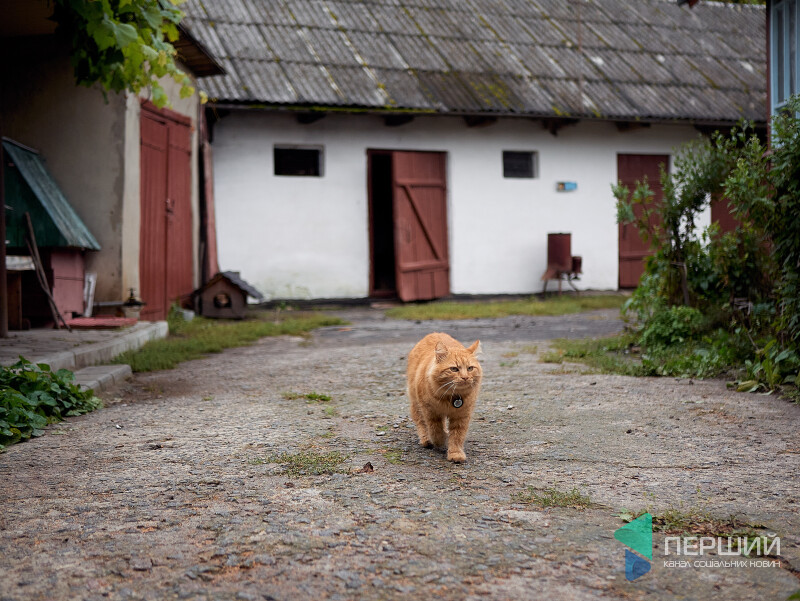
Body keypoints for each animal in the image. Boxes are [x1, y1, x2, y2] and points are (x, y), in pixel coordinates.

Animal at [406, 332, 482, 463]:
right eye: (454, 369)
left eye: (470, 368)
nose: (465, 377)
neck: (451, 397)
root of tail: (434, 333)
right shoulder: (430, 411)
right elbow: (435, 430)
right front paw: (440, 441)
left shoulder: (462, 416)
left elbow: (457, 436)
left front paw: (455, 453)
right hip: (416, 402)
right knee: (420, 421)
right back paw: (426, 440)